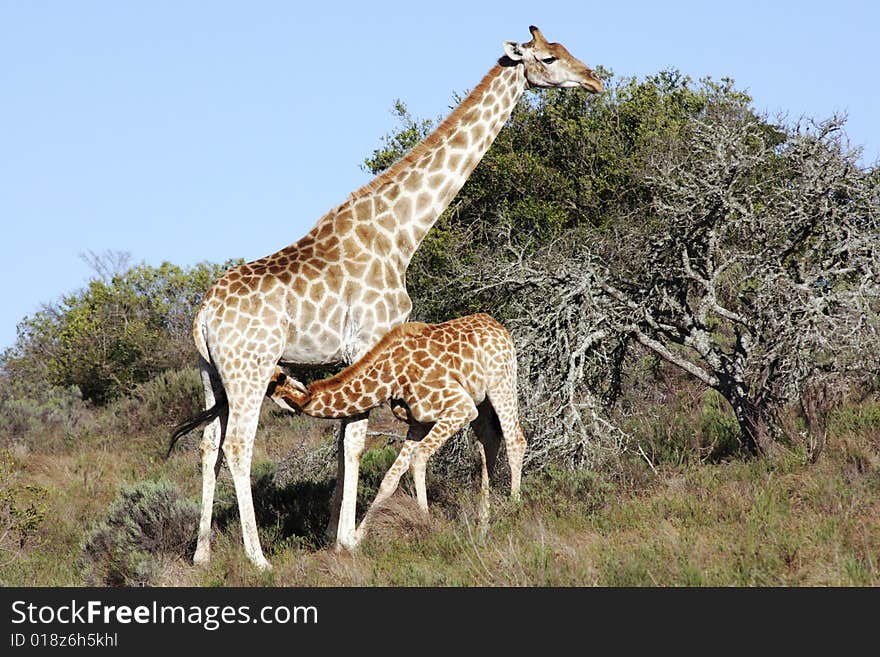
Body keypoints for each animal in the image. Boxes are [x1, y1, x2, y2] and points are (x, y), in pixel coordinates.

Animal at [272, 312, 524, 544]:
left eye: (272, 381)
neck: (391, 379)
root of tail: (498, 326)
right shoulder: (418, 422)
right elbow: (390, 478)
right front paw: (357, 539)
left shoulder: (460, 406)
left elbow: (419, 457)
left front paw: (425, 522)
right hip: (482, 401)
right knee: (490, 443)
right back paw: (482, 527)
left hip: (501, 384)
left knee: (516, 441)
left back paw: (513, 509)